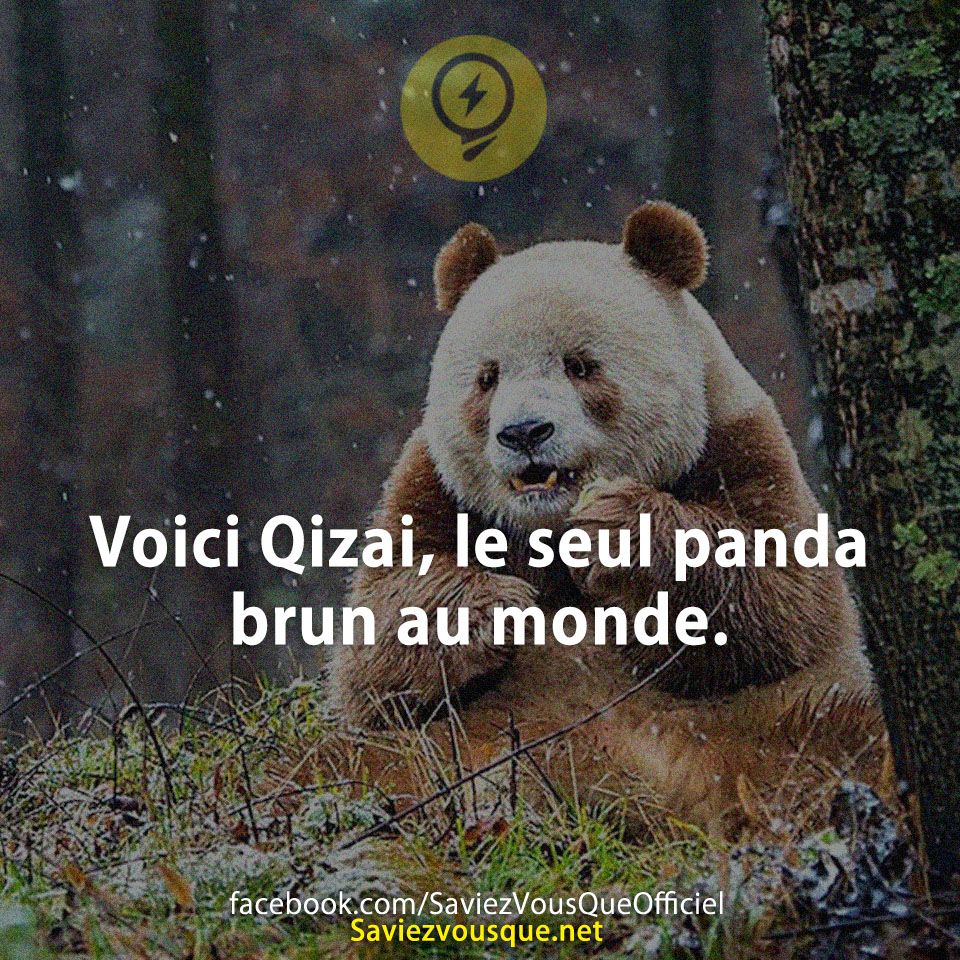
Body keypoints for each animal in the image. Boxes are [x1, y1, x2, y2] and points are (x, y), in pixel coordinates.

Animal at [329, 202, 881, 831]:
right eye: (488, 377)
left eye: (581, 366)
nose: (524, 432)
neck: (547, 525)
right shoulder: (436, 487)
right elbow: (374, 647)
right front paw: (495, 610)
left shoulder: (738, 444)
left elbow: (782, 600)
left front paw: (617, 536)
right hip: (448, 745)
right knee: (353, 759)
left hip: (767, 724)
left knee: (842, 738)